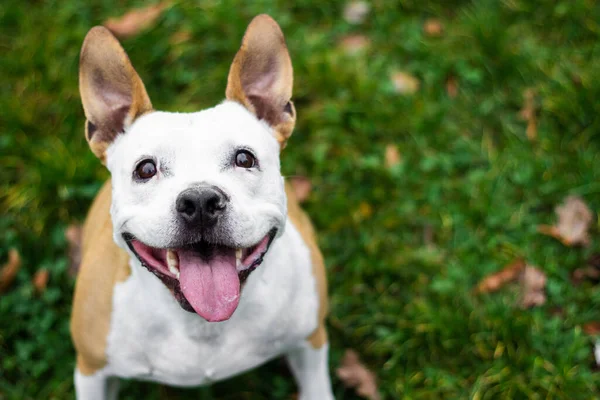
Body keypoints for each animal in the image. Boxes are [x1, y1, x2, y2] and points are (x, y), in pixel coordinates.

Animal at [71, 14, 332, 398]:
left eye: (244, 159)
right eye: (145, 169)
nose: (200, 201)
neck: (201, 325)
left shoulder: (311, 341)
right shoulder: (91, 369)